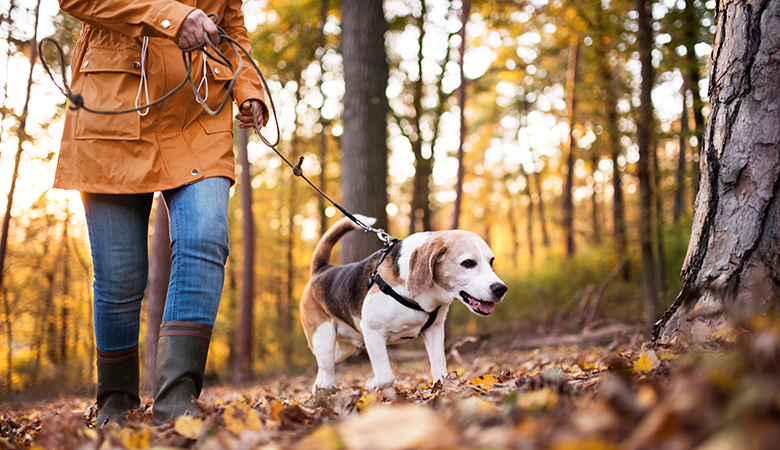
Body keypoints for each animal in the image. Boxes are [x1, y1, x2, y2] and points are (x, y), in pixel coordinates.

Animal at [298, 216, 506, 392]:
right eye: (468, 263)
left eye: (491, 261)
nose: (500, 289)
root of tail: (322, 269)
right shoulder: (373, 332)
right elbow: (386, 377)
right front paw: (372, 383)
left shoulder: (435, 330)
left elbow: (440, 370)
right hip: (323, 339)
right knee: (327, 370)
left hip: (343, 348)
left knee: (323, 370)